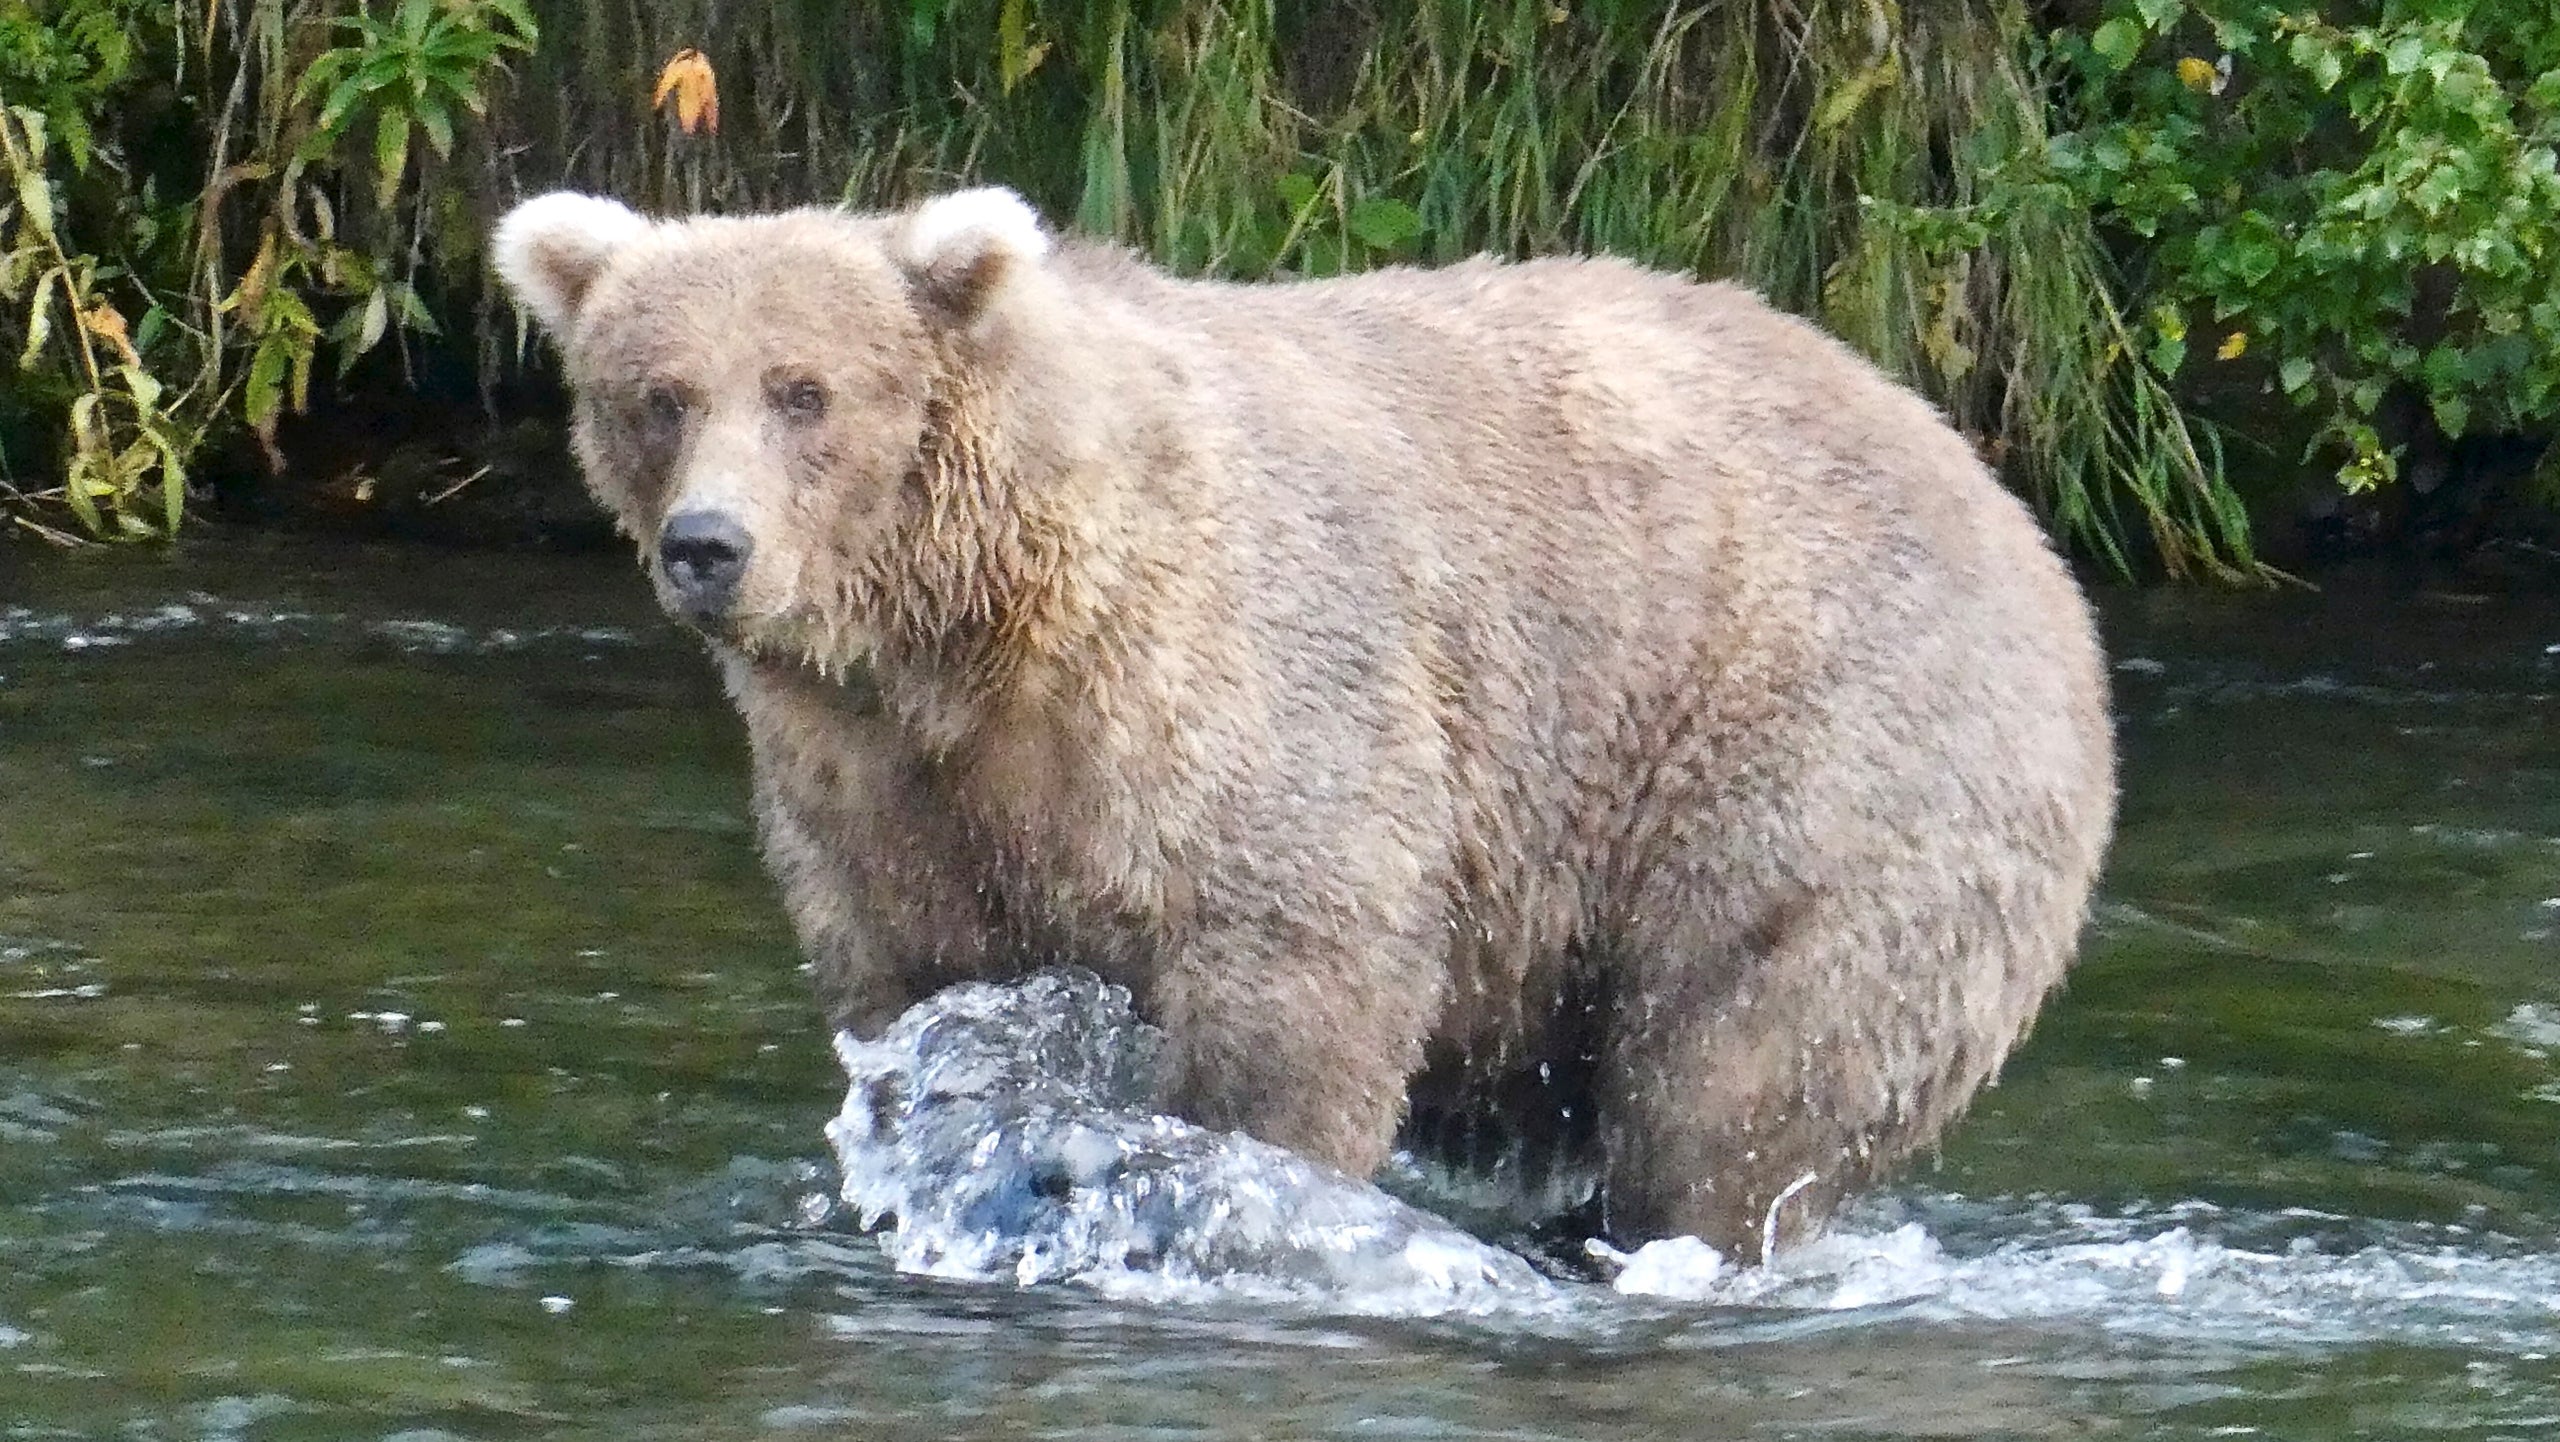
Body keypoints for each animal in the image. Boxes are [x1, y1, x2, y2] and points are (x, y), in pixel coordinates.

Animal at [488, 185, 2109, 1260]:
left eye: (805, 390)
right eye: (657, 392)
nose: (709, 544)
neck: (976, 634)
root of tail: (2023, 525)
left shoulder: (1226, 686)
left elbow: (1294, 972)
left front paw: (1231, 1182)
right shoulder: (888, 794)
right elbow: (925, 1008)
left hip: (1812, 747)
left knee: (1741, 1076)